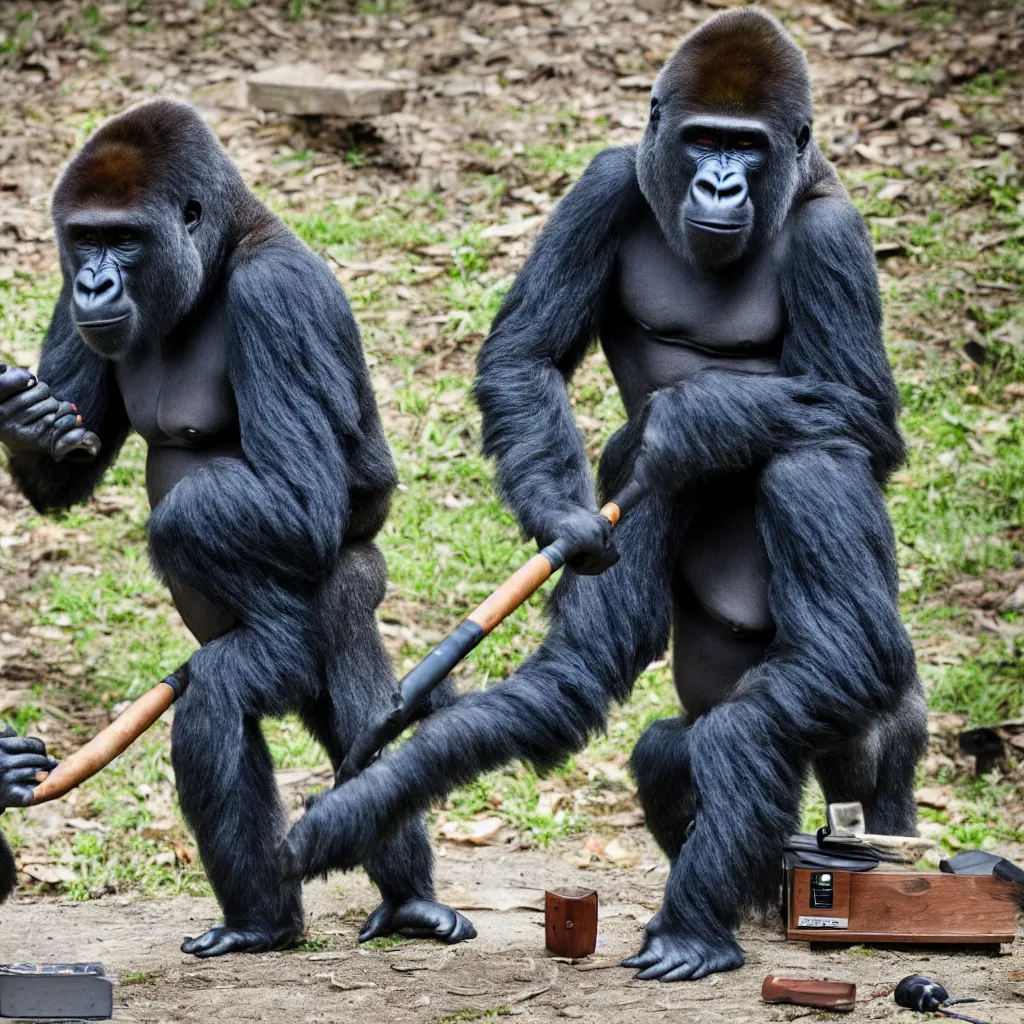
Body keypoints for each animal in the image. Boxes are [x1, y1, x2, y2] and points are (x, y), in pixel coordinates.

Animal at [0, 99, 471, 954]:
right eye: (84, 238)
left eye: (126, 238)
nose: (93, 279)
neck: (218, 257)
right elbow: (67, 470)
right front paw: (23, 418)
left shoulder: (276, 297)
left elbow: (299, 506)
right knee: (336, 734)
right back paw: (317, 913)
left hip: (339, 614)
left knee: (238, 693)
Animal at [282, 9, 929, 983]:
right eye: (703, 138)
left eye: (748, 146)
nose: (719, 180)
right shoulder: (605, 187)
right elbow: (531, 361)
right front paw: (375, 793)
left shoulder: (834, 241)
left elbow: (860, 413)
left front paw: (696, 419)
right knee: (654, 732)